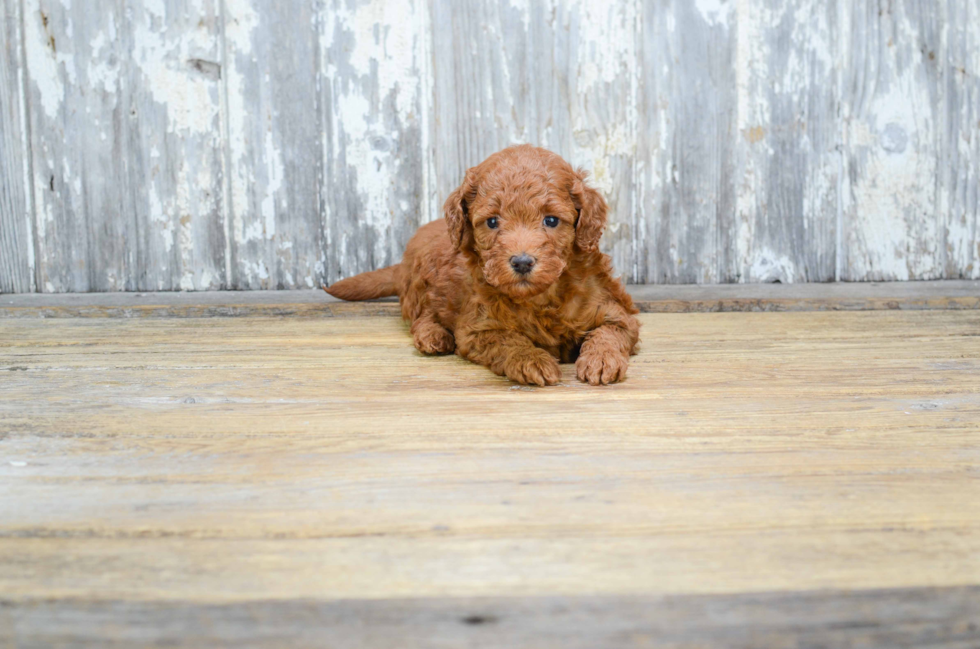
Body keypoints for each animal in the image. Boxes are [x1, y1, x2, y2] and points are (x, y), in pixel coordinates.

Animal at [326, 144, 640, 382]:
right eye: (492, 222)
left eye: (551, 220)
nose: (522, 262)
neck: (539, 298)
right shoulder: (477, 328)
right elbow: (508, 340)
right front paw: (531, 360)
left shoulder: (616, 310)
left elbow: (609, 332)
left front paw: (601, 360)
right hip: (419, 282)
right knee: (420, 316)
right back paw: (432, 335)